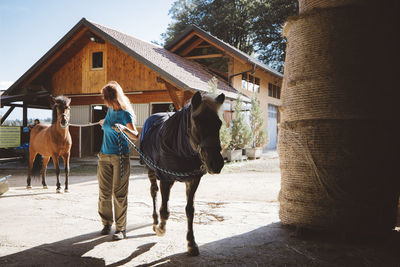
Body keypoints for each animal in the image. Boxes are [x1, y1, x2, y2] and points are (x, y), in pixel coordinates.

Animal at [139, 92, 223, 258]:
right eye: (198, 121)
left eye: (219, 123)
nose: (216, 164)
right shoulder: (165, 179)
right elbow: (165, 210)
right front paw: (160, 229)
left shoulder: (193, 180)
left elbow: (190, 210)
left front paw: (191, 243)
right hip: (150, 171)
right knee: (153, 192)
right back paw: (155, 222)